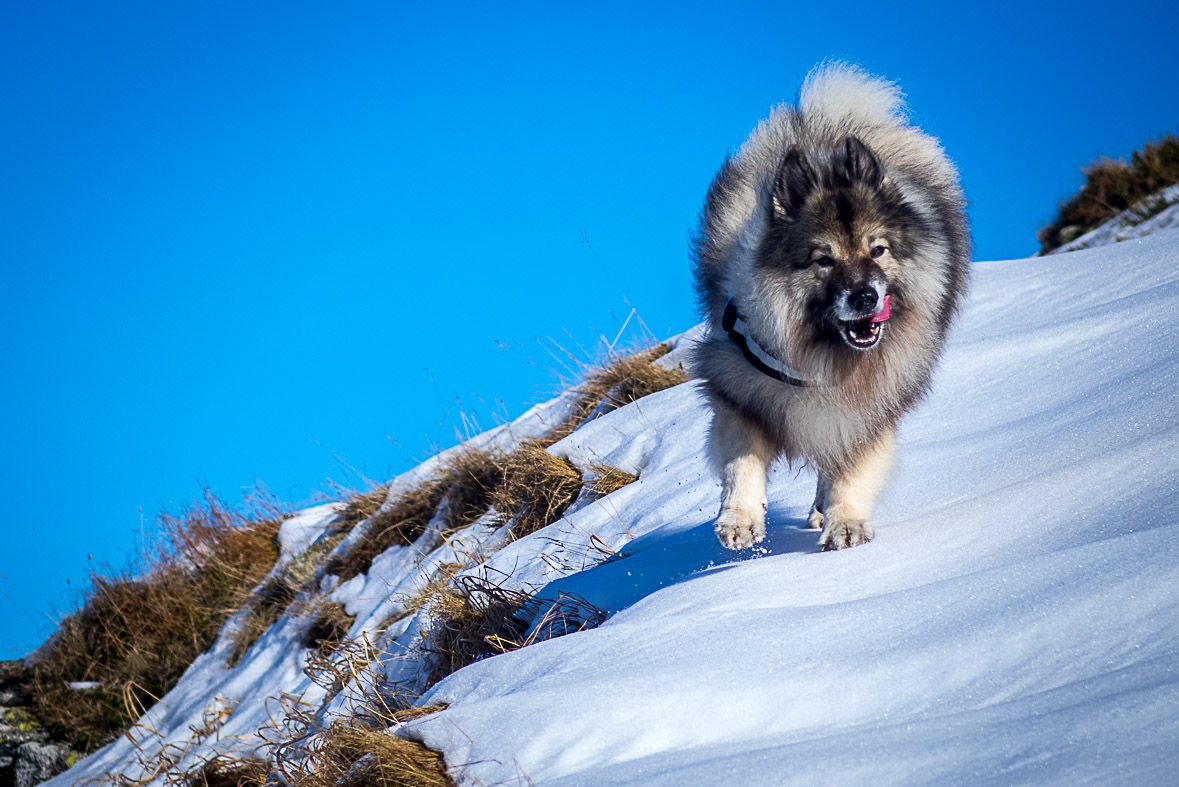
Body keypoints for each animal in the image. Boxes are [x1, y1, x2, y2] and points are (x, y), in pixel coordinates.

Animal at [688, 61, 966, 551]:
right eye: (824, 259)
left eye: (878, 250)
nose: (866, 296)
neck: (822, 354)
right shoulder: (738, 390)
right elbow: (742, 464)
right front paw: (739, 519)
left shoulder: (869, 406)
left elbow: (852, 470)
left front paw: (846, 522)